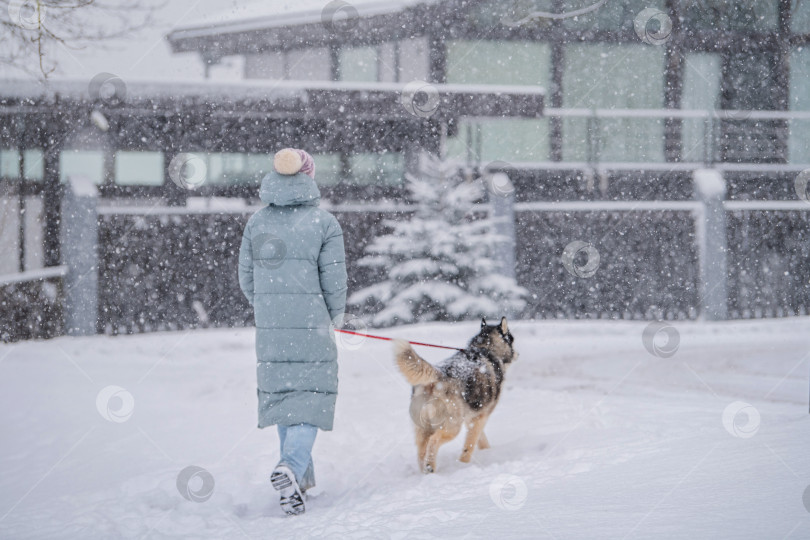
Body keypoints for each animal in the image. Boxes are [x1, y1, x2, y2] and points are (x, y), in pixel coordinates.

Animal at [392, 316, 516, 472]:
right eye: (512, 338)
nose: (518, 354)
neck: (485, 349)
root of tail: (438, 374)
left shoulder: (472, 417)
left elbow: (480, 439)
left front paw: (487, 451)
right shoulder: (480, 417)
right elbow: (469, 445)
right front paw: (464, 464)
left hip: (423, 427)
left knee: (421, 450)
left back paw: (425, 471)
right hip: (452, 427)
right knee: (433, 441)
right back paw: (430, 467)